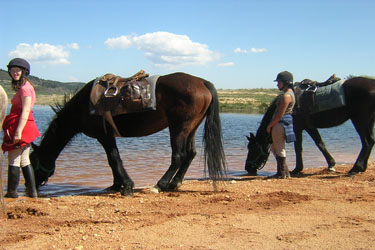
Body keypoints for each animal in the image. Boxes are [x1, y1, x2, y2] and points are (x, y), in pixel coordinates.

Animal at [30, 72, 226, 195]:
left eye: (33, 162)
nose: (29, 187)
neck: (83, 106)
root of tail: (202, 82)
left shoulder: (104, 136)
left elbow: (114, 159)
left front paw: (126, 186)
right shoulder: (107, 137)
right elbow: (113, 160)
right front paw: (116, 185)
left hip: (178, 128)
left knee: (178, 156)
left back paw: (160, 185)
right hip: (190, 128)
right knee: (190, 154)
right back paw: (175, 183)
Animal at [245, 76, 375, 176]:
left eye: (253, 149)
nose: (247, 168)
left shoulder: (297, 128)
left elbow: (299, 148)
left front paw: (297, 169)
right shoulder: (310, 127)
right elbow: (320, 144)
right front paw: (331, 164)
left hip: (360, 120)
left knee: (367, 142)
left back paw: (356, 168)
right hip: (368, 122)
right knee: (370, 142)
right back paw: (361, 168)